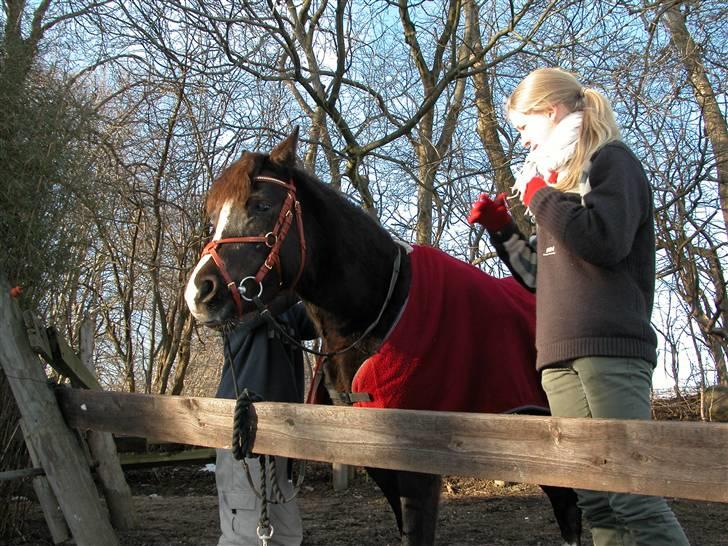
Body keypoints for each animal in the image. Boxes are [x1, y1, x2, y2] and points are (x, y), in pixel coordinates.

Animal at [185, 130, 584, 544]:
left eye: (261, 204)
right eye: (212, 219)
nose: (199, 293)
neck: (380, 308)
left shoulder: (419, 469)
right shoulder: (379, 461)